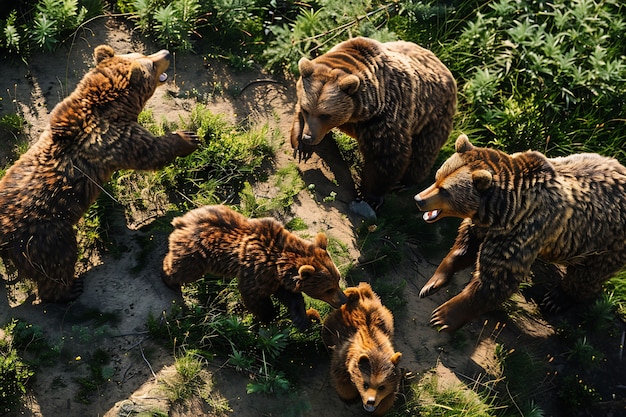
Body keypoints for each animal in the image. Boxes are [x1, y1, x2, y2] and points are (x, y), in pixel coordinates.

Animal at [0, 44, 197, 302]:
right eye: (151, 64)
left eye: (141, 54)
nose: (164, 53)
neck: (112, 106)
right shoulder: (113, 137)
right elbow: (150, 152)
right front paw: (188, 138)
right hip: (44, 237)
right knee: (58, 263)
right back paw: (69, 290)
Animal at [161, 204, 346, 328]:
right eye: (328, 289)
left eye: (338, 280)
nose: (343, 300)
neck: (278, 261)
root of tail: (183, 220)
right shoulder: (257, 270)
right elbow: (255, 297)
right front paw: (269, 316)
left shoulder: (276, 277)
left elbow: (290, 296)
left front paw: (302, 318)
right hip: (197, 252)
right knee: (183, 268)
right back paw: (169, 281)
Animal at [290, 36, 456, 208]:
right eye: (307, 109)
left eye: (325, 115)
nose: (308, 137)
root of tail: (443, 66)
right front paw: (302, 148)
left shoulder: (384, 115)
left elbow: (386, 155)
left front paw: (371, 196)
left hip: (432, 115)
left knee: (424, 149)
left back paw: (405, 182)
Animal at [322, 282, 400, 414]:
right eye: (366, 384)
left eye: (382, 387)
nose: (370, 401)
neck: (375, 348)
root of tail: (361, 294)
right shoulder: (344, 355)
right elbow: (341, 379)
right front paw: (350, 398)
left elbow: (390, 397)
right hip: (334, 323)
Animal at [412, 133, 624, 332]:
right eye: (437, 178)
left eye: (445, 191)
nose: (419, 199)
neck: (504, 210)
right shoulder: (486, 225)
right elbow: (465, 245)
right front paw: (432, 283)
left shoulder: (524, 230)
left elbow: (497, 278)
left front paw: (442, 317)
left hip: (604, 242)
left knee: (587, 274)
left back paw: (556, 299)